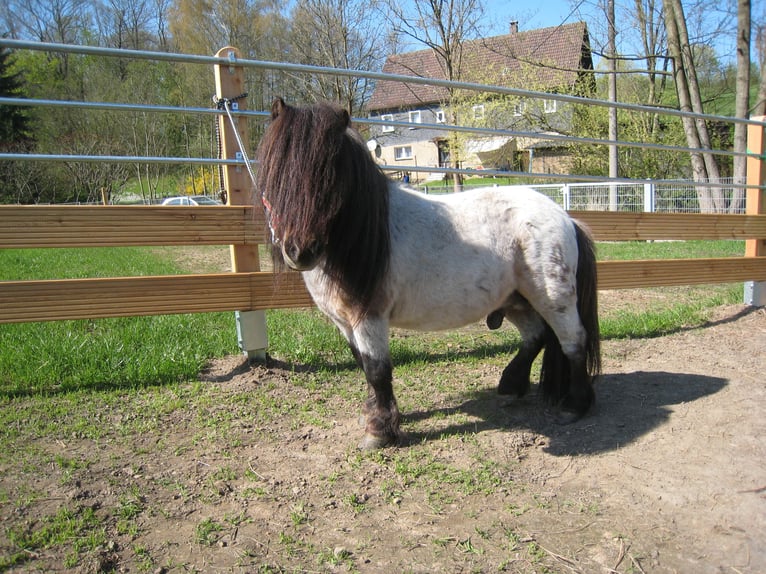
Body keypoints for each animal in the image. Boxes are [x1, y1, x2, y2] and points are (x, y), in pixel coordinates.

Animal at [258, 98, 608, 450]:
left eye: (332, 173)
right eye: (276, 170)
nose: (300, 250)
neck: (362, 237)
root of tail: (564, 217)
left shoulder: (369, 319)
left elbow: (377, 370)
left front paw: (379, 431)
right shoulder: (344, 322)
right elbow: (362, 364)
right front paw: (371, 415)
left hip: (553, 298)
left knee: (573, 341)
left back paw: (573, 406)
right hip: (515, 299)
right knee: (535, 336)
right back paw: (511, 387)